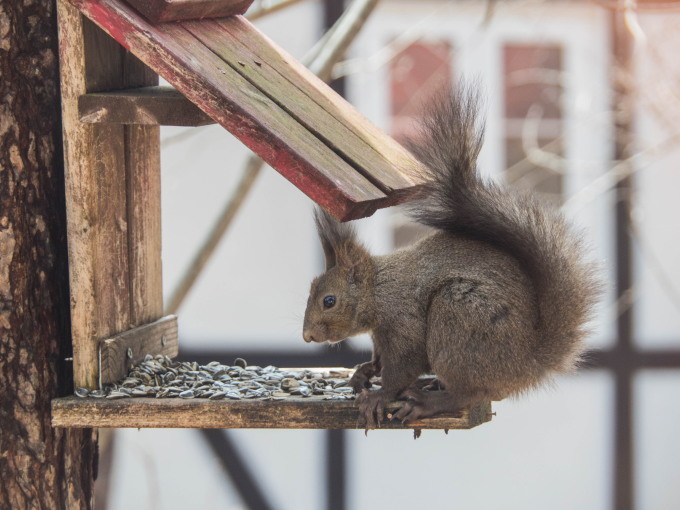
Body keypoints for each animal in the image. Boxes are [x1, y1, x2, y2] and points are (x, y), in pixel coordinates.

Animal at [302, 85, 600, 428]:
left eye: (329, 301)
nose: (307, 336)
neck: (379, 290)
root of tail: (528, 364)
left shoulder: (403, 322)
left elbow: (403, 366)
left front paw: (378, 397)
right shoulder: (381, 336)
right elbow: (380, 360)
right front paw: (364, 372)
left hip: (458, 320)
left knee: (467, 393)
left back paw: (428, 401)